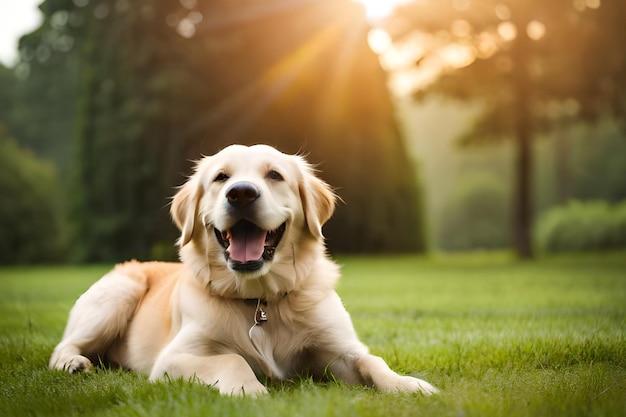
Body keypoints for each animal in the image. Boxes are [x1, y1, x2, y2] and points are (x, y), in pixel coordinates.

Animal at [48, 145, 436, 394]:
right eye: (221, 177)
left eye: (275, 175)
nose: (242, 194)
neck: (260, 300)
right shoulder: (173, 358)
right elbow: (232, 358)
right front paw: (252, 391)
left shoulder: (339, 349)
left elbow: (373, 361)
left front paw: (408, 384)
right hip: (119, 291)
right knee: (63, 346)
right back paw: (73, 363)